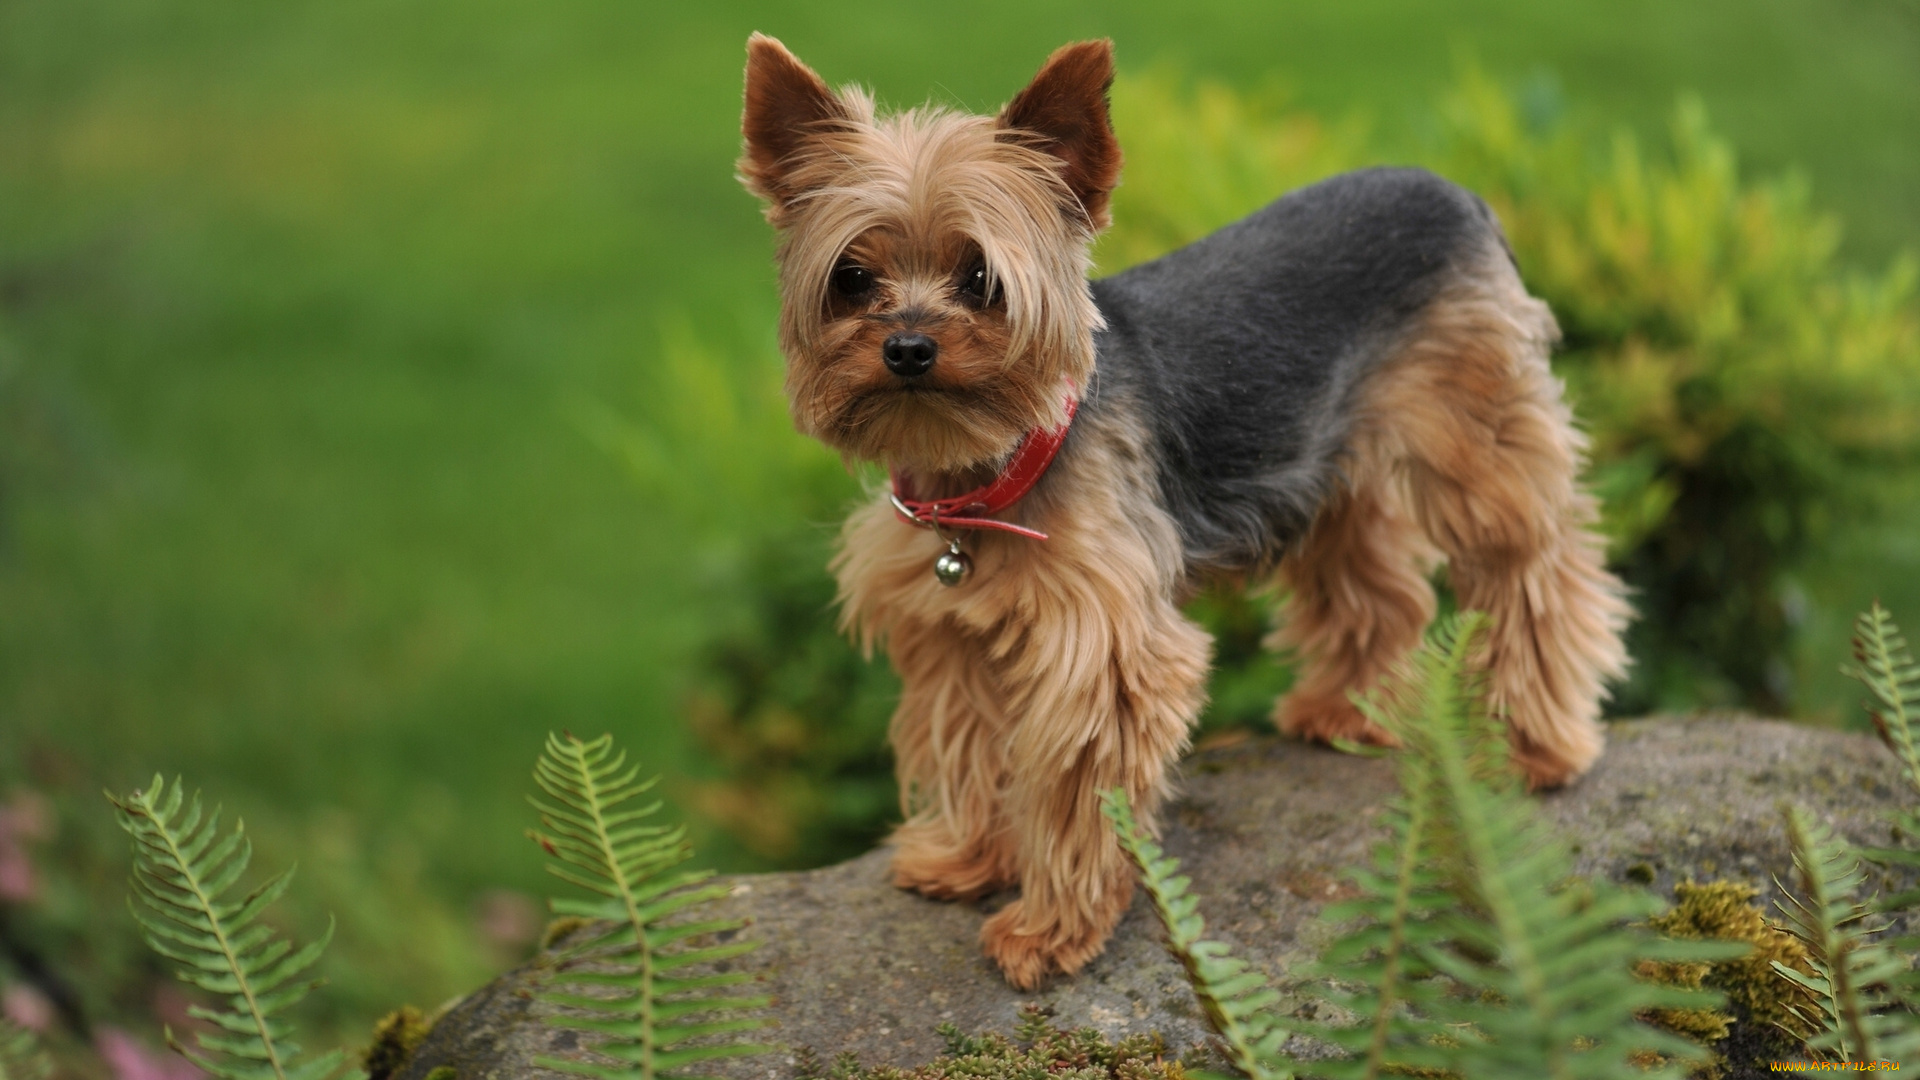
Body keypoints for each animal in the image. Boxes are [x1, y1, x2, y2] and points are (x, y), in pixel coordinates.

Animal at [733, 37, 1620, 991]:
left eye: (981, 279)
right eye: (852, 278)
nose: (906, 347)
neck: (985, 468)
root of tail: (1459, 192)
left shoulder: (1102, 648)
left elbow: (1078, 787)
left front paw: (1049, 930)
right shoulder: (946, 630)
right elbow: (965, 742)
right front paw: (967, 858)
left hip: (1475, 437)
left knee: (1536, 564)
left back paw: (1536, 747)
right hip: (1325, 454)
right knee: (1373, 578)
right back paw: (1344, 711)